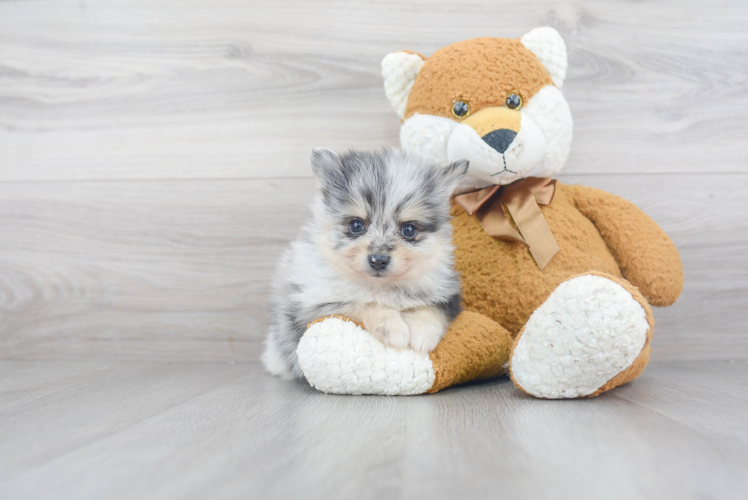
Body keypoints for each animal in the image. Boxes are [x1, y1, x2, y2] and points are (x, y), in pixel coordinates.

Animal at [262, 148, 468, 378]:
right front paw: (392, 327)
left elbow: (429, 308)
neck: (380, 287)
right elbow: (361, 302)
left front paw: (423, 333)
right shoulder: (315, 305)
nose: (378, 260)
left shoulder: (446, 295)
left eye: (408, 230)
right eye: (356, 225)